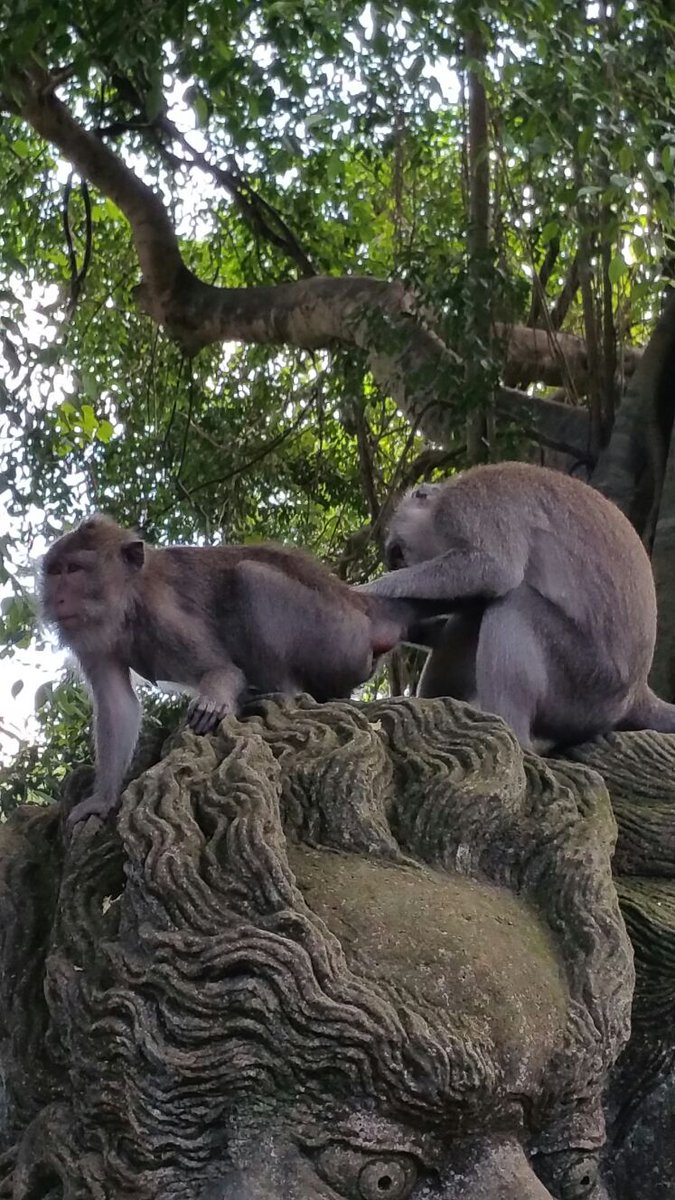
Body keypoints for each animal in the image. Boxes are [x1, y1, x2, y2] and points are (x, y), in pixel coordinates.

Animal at [41, 515, 445, 829]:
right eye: (55, 572)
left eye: (75, 570)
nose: (57, 599)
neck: (128, 602)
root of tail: (359, 604)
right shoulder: (91, 640)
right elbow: (118, 706)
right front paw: (102, 799)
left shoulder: (163, 613)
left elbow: (220, 668)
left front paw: (215, 702)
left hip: (339, 636)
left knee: (251, 578)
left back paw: (281, 694)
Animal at [360, 461, 675, 751]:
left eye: (397, 555)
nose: (399, 565)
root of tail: (636, 693)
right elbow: (475, 595)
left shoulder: (470, 505)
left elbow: (493, 570)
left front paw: (368, 589)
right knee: (475, 617)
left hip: (586, 686)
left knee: (514, 604)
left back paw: (513, 736)